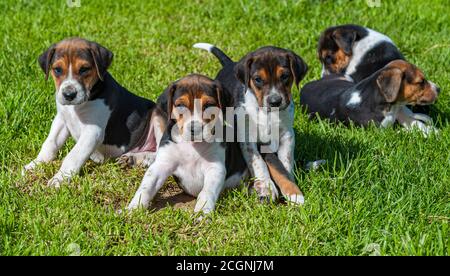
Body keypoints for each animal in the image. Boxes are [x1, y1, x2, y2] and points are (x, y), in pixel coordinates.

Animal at [22, 37, 163, 187]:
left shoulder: (93, 131)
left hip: (159, 116)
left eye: (84, 69)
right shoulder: (61, 120)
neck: (77, 106)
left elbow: (73, 155)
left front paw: (60, 178)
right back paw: (132, 158)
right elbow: (50, 143)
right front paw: (35, 165)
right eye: (58, 69)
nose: (69, 95)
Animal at [125, 74, 250, 215]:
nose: (195, 129)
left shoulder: (215, 167)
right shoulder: (162, 164)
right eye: (180, 105)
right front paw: (133, 208)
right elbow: (146, 187)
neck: (192, 146)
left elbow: (206, 192)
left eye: (209, 105)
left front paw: (202, 212)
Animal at [195, 42, 308, 203]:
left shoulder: (287, 135)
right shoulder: (249, 140)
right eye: (258, 79)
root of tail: (230, 64)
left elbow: (285, 163)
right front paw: (266, 187)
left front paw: (292, 190)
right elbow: (259, 163)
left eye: (285, 76)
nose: (275, 101)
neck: (267, 114)